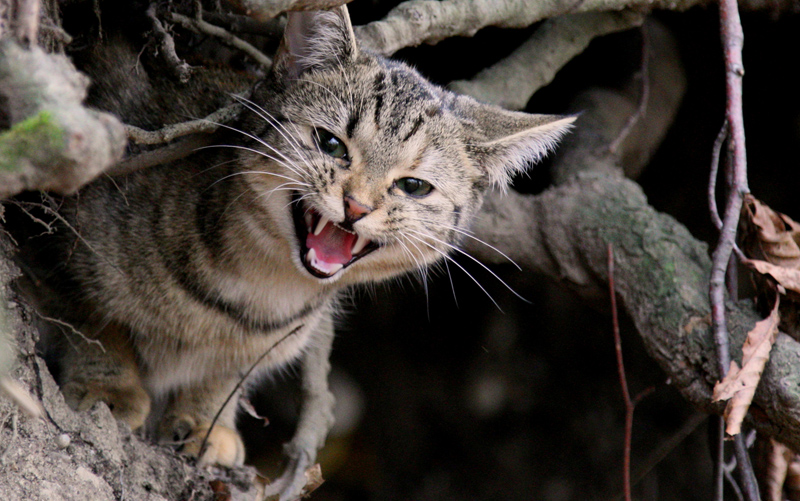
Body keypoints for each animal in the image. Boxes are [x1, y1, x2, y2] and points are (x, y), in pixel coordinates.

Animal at [9, 3, 572, 466]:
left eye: (413, 186)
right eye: (331, 144)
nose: (357, 205)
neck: (257, 293)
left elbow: (227, 376)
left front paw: (207, 422)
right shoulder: (57, 232)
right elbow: (91, 319)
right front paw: (110, 385)